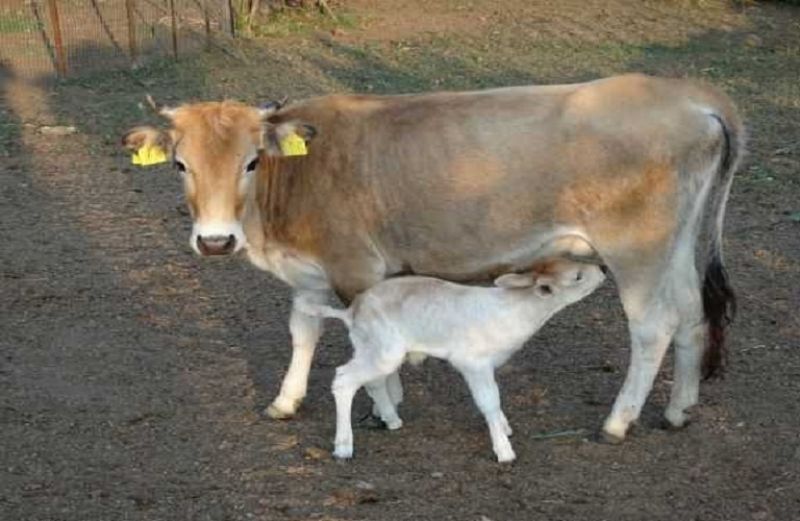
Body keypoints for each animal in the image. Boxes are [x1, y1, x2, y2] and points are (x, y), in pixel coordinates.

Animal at [123, 72, 744, 438]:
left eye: (251, 161)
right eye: (180, 164)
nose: (215, 241)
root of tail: (687, 94)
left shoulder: (356, 268)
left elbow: (366, 342)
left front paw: (386, 406)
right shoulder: (309, 276)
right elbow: (303, 333)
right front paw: (286, 401)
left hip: (637, 250)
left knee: (653, 327)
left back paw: (619, 421)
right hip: (677, 246)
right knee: (692, 315)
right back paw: (678, 409)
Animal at [296, 258, 604, 462]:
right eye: (578, 276)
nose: (602, 271)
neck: (514, 311)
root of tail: (351, 312)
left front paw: (505, 429)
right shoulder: (473, 362)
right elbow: (489, 401)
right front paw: (504, 450)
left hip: (375, 348)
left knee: (372, 381)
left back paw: (392, 419)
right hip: (381, 349)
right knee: (344, 379)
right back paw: (344, 447)